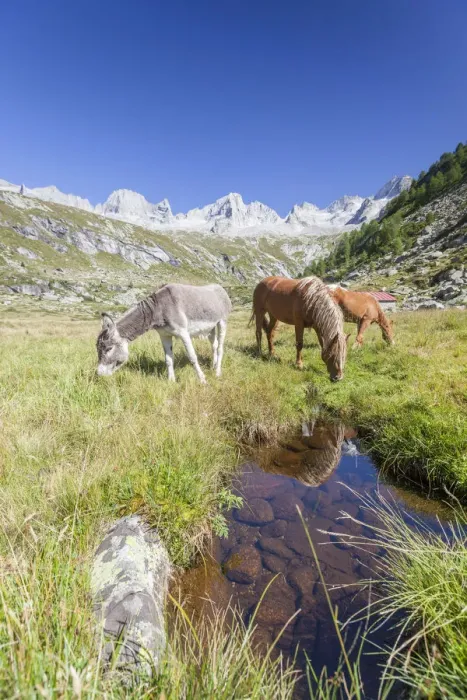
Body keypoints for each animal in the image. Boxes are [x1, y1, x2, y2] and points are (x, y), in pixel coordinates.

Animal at [96, 283, 232, 384]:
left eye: (108, 349)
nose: (99, 374)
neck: (158, 309)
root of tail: (220, 287)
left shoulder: (183, 333)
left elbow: (192, 356)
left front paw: (202, 380)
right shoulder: (164, 335)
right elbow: (168, 360)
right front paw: (171, 381)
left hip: (222, 321)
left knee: (220, 347)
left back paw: (217, 372)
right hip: (210, 327)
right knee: (214, 345)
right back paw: (213, 366)